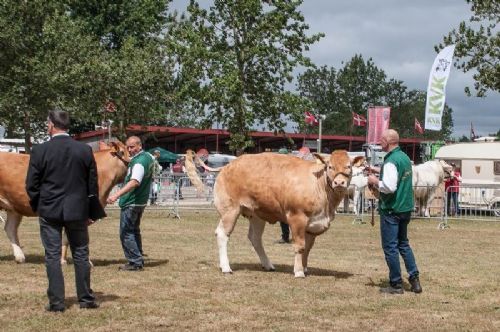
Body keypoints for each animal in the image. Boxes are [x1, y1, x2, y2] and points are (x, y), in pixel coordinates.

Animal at [0, 141, 129, 264]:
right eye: (123, 152)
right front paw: (86, 261)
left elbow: (67, 238)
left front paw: (62, 259)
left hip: (14, 207)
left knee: (10, 228)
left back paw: (20, 257)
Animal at [215, 150, 352, 278]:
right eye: (330, 166)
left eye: (349, 166)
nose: (339, 183)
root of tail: (228, 165)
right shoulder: (297, 218)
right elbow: (300, 246)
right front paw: (299, 271)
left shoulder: (314, 224)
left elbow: (307, 248)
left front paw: (304, 268)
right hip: (230, 209)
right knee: (222, 234)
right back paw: (226, 267)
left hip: (256, 215)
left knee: (255, 238)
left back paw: (268, 265)